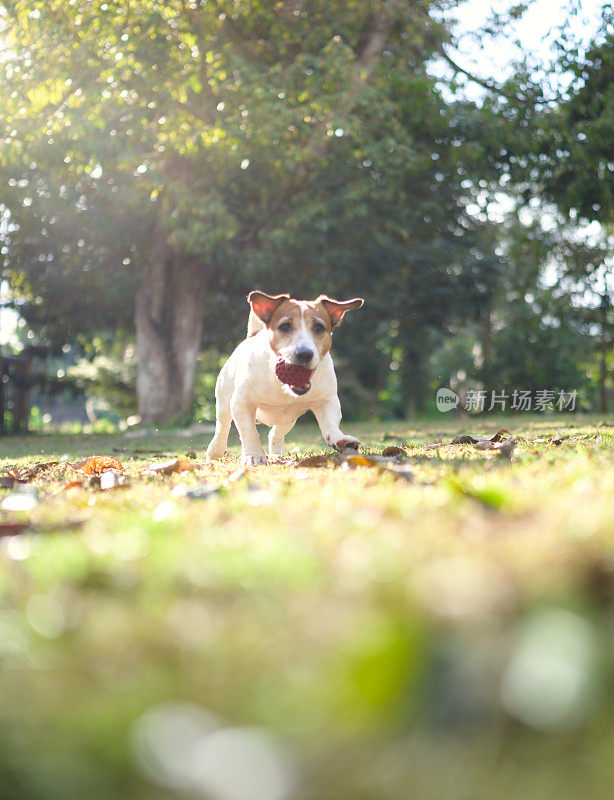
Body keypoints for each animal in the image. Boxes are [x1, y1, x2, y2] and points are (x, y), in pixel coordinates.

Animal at [208, 290, 366, 466]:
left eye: (318, 327)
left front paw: (341, 441)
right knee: (222, 428)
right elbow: (249, 432)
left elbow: (330, 424)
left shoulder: (327, 400)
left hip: (288, 419)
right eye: (285, 326)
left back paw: (277, 454)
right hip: (224, 402)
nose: (304, 353)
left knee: (275, 433)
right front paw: (254, 455)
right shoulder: (241, 403)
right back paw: (215, 451)